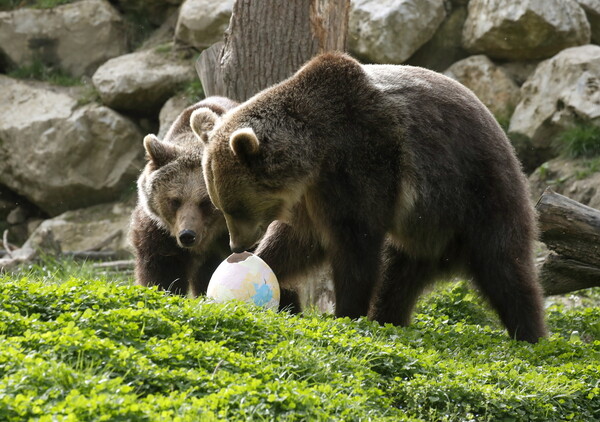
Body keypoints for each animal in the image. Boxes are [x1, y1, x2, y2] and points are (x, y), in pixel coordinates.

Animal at [190, 52, 548, 342]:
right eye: (220, 206)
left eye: (235, 207)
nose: (236, 247)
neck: (319, 152)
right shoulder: (312, 194)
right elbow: (298, 241)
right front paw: (265, 262)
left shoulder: (365, 161)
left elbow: (355, 243)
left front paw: (346, 312)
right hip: (420, 234)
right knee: (397, 278)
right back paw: (388, 318)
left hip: (477, 194)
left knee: (505, 267)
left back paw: (530, 334)